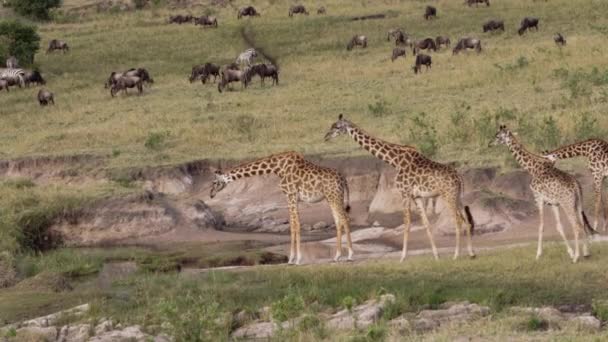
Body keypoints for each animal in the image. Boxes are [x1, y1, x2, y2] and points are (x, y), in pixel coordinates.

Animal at [208, 151, 352, 266]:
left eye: (214, 182)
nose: (210, 194)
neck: (278, 168)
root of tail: (344, 179)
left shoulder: (291, 195)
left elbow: (295, 224)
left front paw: (296, 259)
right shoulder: (292, 197)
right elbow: (293, 224)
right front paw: (292, 259)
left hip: (335, 196)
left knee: (345, 218)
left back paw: (350, 255)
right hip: (331, 197)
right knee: (338, 220)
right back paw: (337, 256)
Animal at [324, 113, 476, 260]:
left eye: (337, 127)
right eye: (331, 125)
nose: (326, 136)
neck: (394, 160)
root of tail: (459, 178)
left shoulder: (404, 193)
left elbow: (407, 224)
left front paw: (402, 257)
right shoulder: (416, 196)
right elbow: (426, 223)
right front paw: (436, 255)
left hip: (448, 196)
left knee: (458, 220)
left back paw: (456, 255)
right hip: (458, 196)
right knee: (467, 220)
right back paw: (471, 253)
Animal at [486, 125, 596, 262]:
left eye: (498, 136)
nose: (489, 144)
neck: (532, 168)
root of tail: (576, 185)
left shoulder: (538, 198)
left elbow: (541, 226)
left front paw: (538, 254)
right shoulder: (553, 203)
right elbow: (559, 226)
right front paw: (570, 252)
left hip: (567, 204)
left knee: (576, 226)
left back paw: (576, 257)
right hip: (579, 203)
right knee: (582, 223)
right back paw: (586, 253)